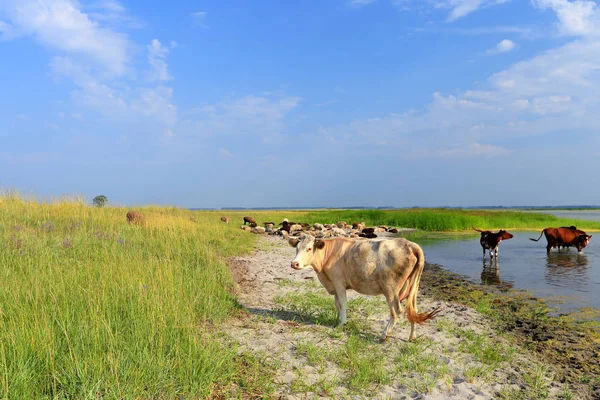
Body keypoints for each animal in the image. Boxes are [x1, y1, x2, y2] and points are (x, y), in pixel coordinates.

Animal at [290, 236, 440, 342]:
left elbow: (342, 303)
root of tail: (410, 244)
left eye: (309, 248)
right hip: (412, 286)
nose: (294, 263)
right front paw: (338, 319)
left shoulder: (338, 282)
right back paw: (412, 337)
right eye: (296, 248)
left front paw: (342, 323)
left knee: (397, 311)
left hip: (391, 290)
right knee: (412, 310)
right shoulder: (335, 284)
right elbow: (337, 303)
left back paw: (384, 335)